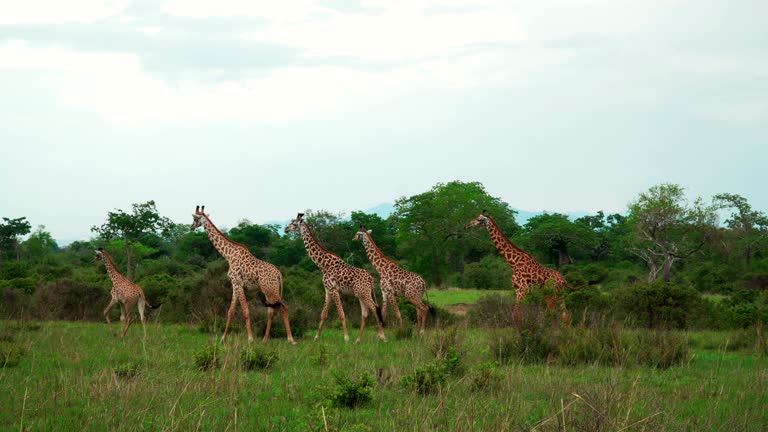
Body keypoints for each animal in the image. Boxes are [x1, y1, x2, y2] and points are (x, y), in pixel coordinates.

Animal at [191, 205, 296, 344]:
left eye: (194, 218)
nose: (191, 227)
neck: (228, 255)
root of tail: (279, 274)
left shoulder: (238, 283)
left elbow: (245, 310)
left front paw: (250, 339)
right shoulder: (234, 285)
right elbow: (230, 311)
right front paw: (223, 339)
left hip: (271, 290)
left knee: (283, 309)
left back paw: (291, 339)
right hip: (268, 291)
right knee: (272, 311)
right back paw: (265, 340)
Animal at [285, 213, 386, 343]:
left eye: (293, 223)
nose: (286, 229)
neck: (323, 265)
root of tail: (371, 279)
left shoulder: (334, 289)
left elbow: (341, 314)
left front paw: (346, 338)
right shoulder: (327, 290)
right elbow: (323, 314)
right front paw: (316, 337)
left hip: (364, 293)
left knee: (374, 308)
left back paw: (382, 337)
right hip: (361, 294)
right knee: (366, 313)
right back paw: (358, 340)